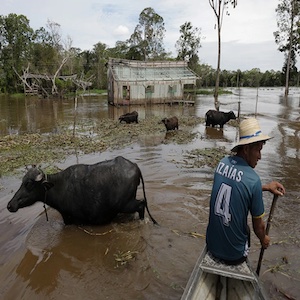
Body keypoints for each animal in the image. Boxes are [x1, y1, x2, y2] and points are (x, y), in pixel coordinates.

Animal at [6, 157, 157, 225]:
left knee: (141, 204)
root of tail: (135, 166)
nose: (9, 205)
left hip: (124, 204)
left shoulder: (69, 218)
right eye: (22, 181)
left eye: (29, 184)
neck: (59, 187)